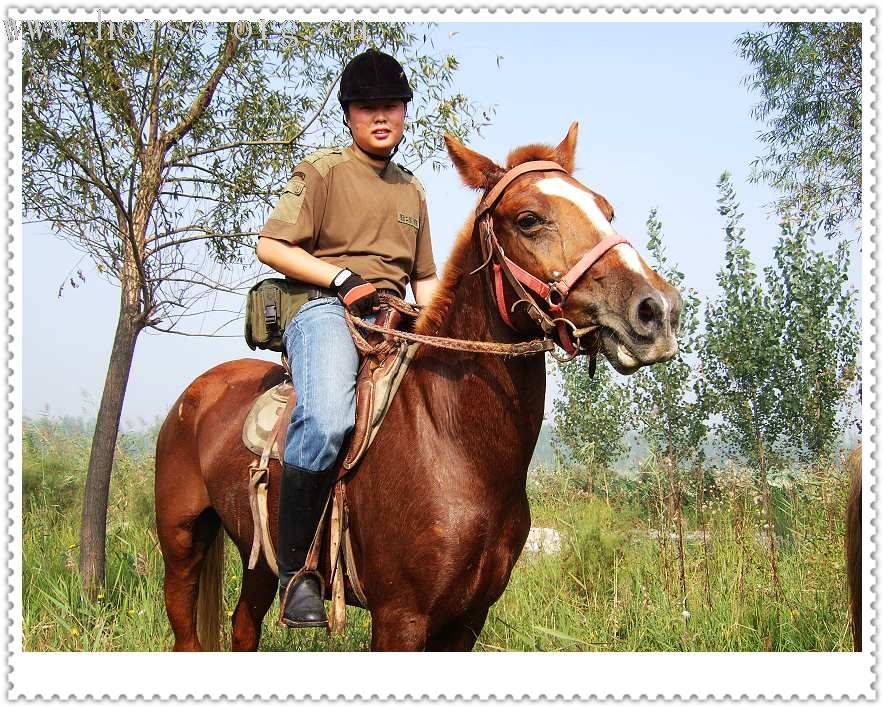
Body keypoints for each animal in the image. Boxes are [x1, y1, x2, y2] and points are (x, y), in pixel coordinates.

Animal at [155, 124, 684, 648]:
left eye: (606, 209)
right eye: (529, 219)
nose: (656, 310)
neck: (452, 444)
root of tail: (194, 395)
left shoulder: (468, 619)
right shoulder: (400, 617)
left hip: (259, 561)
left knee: (244, 627)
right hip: (182, 547)